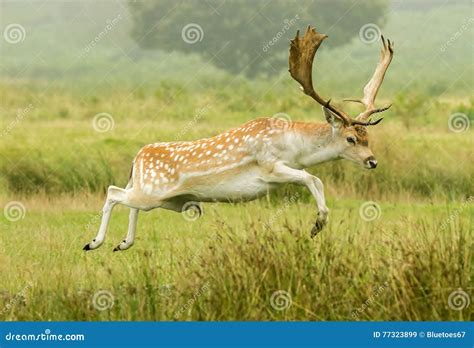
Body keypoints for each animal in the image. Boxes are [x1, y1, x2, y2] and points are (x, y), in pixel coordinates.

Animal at [83, 25, 394, 251]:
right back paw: (94, 243)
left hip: (162, 197)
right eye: (351, 138)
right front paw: (316, 225)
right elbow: (312, 178)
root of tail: (137, 158)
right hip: (151, 191)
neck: (293, 146)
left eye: (367, 136)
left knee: (131, 202)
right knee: (113, 192)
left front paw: (318, 225)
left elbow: (314, 179)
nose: (373, 161)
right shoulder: (270, 168)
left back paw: (123, 243)